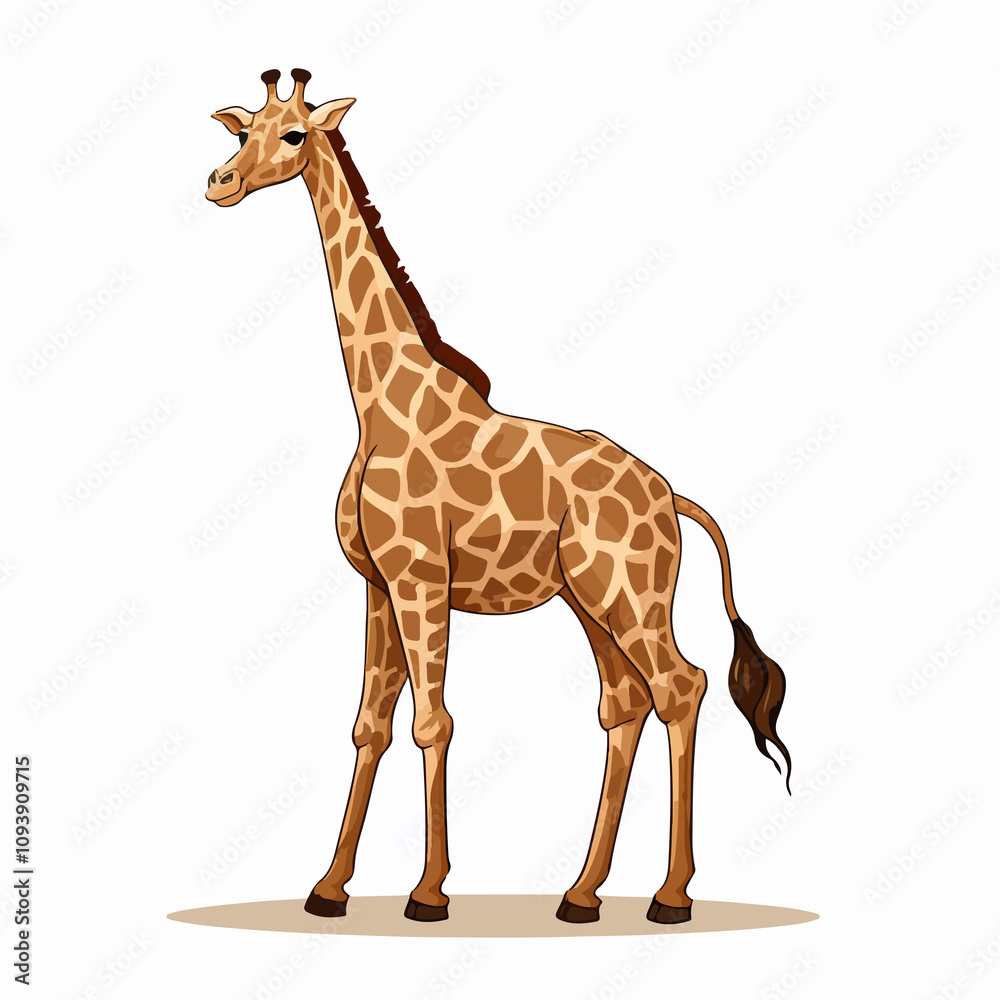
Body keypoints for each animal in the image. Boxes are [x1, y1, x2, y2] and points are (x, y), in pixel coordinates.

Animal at [206, 69, 792, 926]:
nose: (218, 183)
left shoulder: (422, 579)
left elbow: (432, 722)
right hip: (589, 601)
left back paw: (671, 895)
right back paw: (581, 894)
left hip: (629, 595)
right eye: (240, 129)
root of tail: (671, 497)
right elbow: (369, 727)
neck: (380, 406)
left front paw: (427, 892)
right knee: (625, 702)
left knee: (680, 687)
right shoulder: (379, 585)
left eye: (293, 135)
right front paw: (329, 886)